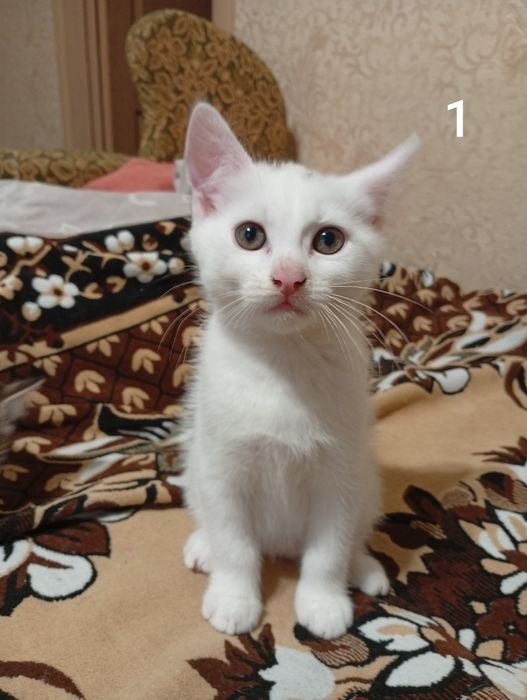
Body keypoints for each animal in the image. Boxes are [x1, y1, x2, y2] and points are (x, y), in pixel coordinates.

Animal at [180, 103, 419, 639]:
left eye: (329, 241)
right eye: (249, 235)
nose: (288, 278)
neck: (283, 364)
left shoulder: (340, 472)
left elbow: (329, 548)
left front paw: (323, 601)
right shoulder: (221, 466)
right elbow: (234, 541)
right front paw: (234, 595)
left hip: (367, 478)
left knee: (354, 531)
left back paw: (363, 567)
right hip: (194, 465)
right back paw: (203, 547)